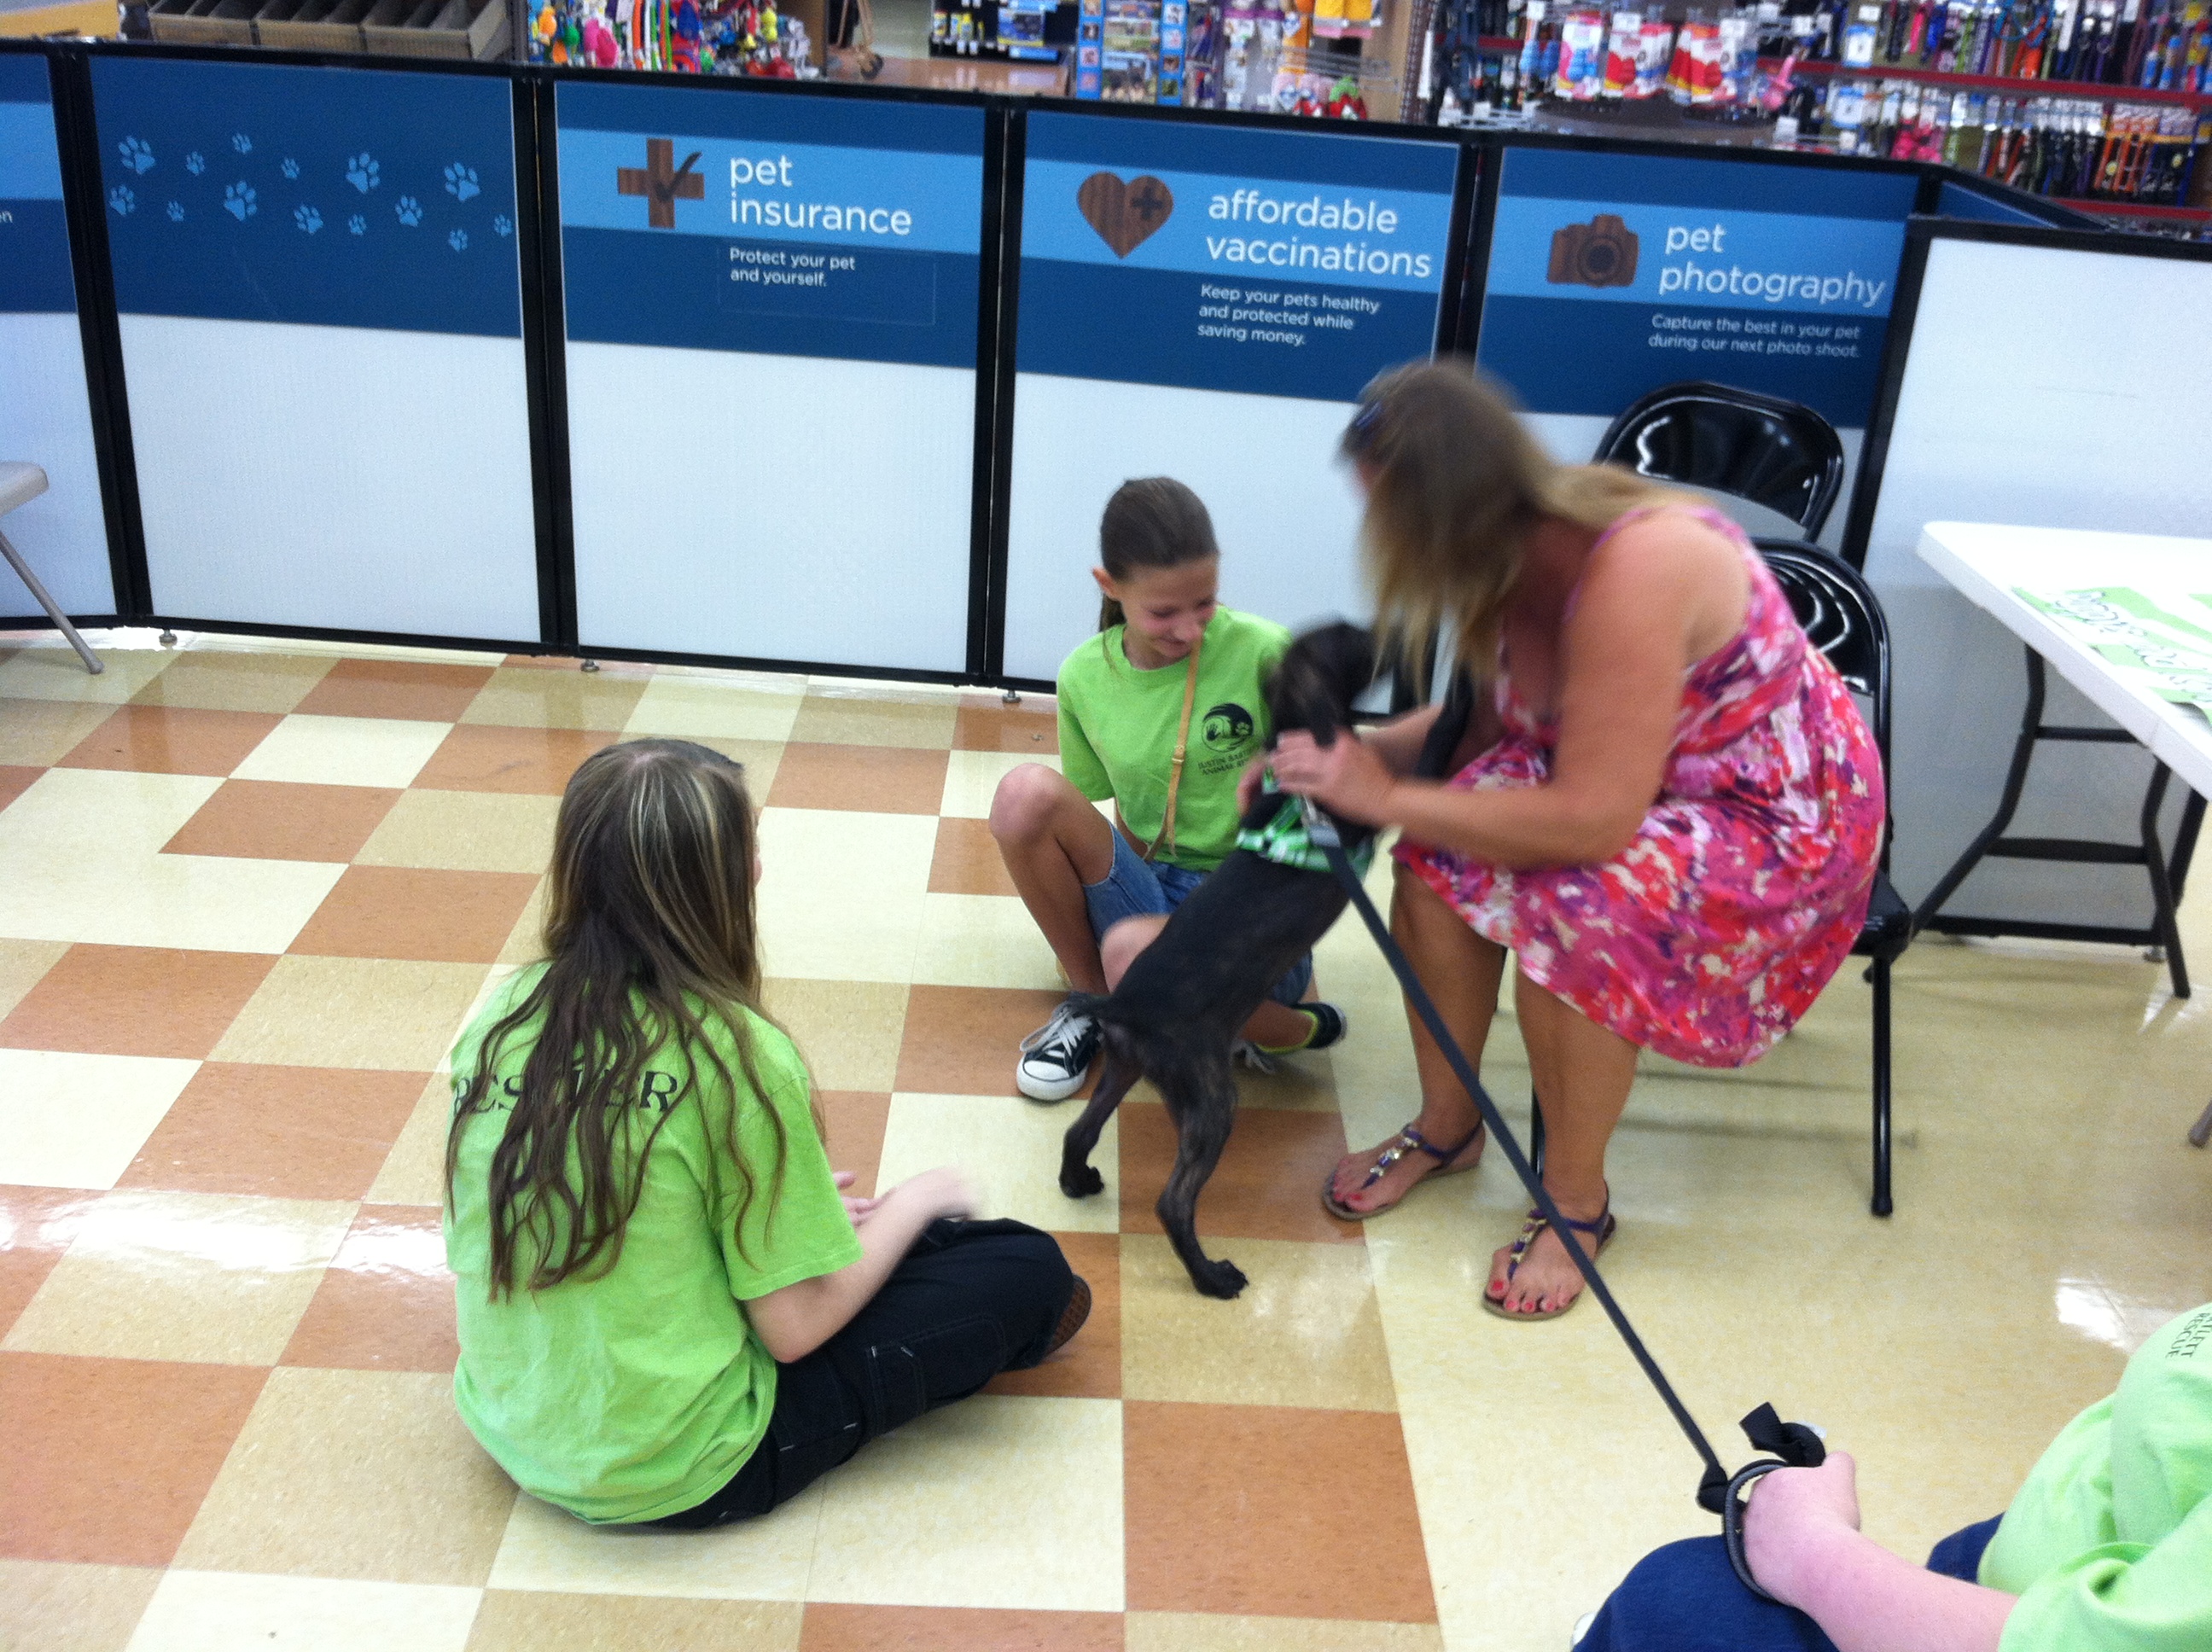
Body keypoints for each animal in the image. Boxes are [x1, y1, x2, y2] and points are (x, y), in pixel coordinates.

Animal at [1048, 628, 1398, 1300]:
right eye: (1349, 639)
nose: (1387, 635)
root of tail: (1122, 1002)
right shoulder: (1364, 811)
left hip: (1127, 1066)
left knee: (1080, 1131)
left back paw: (1078, 1181)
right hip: (1211, 1100)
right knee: (1173, 1204)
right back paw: (1211, 1276)